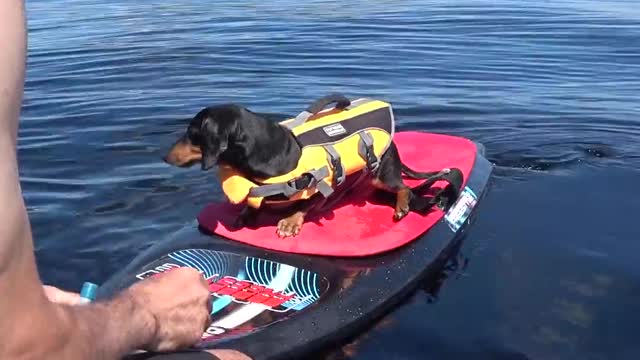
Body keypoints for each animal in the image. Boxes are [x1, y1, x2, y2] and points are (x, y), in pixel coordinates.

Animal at [164, 101, 444, 238]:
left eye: (192, 134)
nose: (164, 156)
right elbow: (253, 201)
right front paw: (246, 213)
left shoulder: (319, 186)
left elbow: (303, 204)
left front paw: (289, 223)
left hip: (382, 174)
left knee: (404, 188)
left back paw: (401, 205)